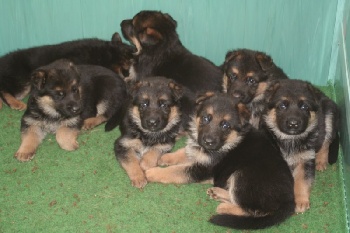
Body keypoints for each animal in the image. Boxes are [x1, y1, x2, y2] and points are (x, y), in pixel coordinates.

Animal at [0, 32, 134, 111]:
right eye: (128, 67)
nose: (128, 74)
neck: (105, 54)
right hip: (23, 83)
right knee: (4, 90)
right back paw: (15, 103)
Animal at [146, 93, 296, 229]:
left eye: (225, 126)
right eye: (206, 118)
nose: (208, 142)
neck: (230, 141)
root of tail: (289, 201)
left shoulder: (201, 169)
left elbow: (175, 171)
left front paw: (152, 172)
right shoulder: (199, 152)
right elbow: (186, 151)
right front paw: (166, 157)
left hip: (243, 176)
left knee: (256, 211)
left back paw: (224, 207)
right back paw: (218, 193)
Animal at [264, 79, 340, 213]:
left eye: (305, 107)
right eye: (282, 106)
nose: (293, 124)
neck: (290, 139)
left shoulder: (305, 159)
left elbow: (302, 181)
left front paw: (300, 201)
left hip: (329, 115)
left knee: (326, 142)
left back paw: (321, 161)